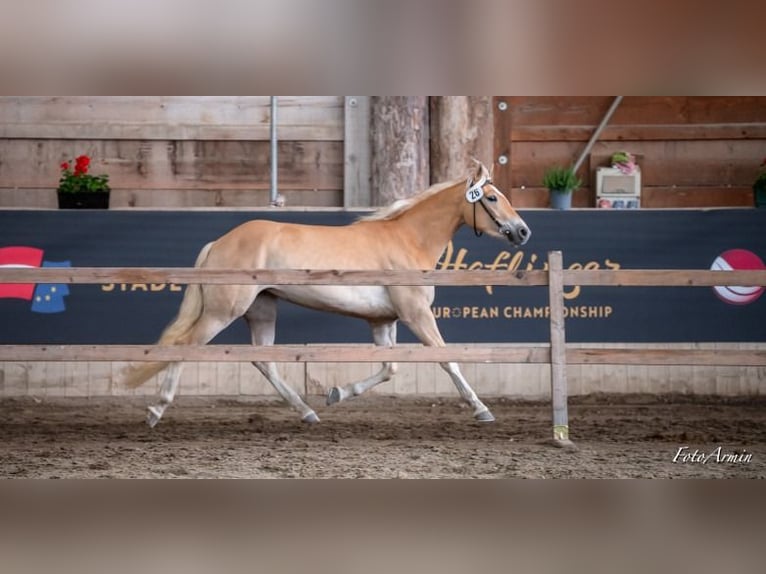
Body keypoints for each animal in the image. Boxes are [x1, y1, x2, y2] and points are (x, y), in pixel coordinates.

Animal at [121, 161, 528, 428]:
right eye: (491, 198)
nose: (523, 231)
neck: (409, 240)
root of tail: (219, 243)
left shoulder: (383, 321)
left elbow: (389, 369)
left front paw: (336, 394)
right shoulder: (416, 315)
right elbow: (449, 360)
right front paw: (481, 409)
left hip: (262, 310)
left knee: (264, 362)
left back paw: (308, 411)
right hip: (224, 311)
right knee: (185, 347)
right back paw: (156, 411)